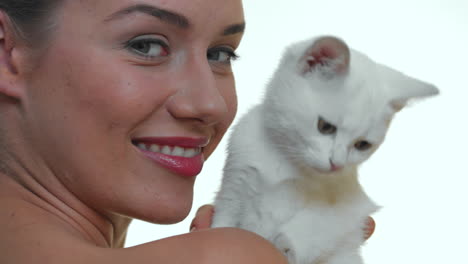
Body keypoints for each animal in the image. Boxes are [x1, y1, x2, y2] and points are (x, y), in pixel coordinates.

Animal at [212, 35, 438, 264]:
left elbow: (315, 223)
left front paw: (286, 245)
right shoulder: (235, 184)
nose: (336, 163)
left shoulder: (351, 209)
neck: (285, 159)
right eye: (325, 127)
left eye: (362, 145)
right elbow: (223, 223)